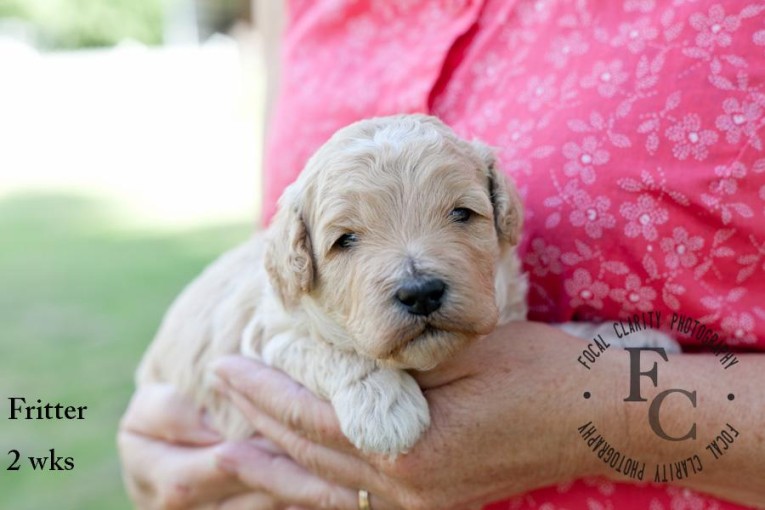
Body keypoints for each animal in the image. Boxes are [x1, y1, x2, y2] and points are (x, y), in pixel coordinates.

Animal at [136, 114, 676, 454]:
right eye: (345, 240)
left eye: (462, 213)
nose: (421, 293)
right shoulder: (264, 334)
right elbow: (335, 352)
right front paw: (385, 410)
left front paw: (626, 338)